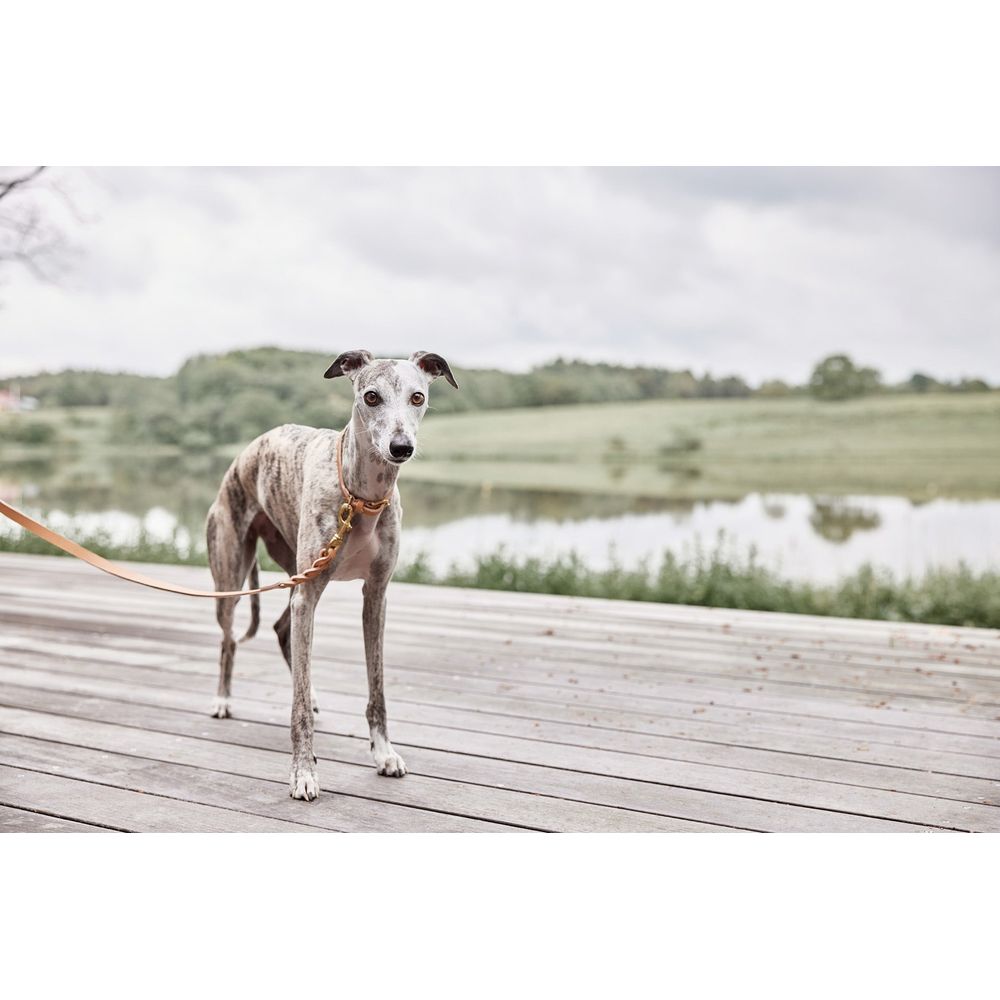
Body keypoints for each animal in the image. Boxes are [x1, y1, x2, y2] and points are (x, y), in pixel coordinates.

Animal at [204, 348, 460, 800]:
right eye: (371, 396)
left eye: (417, 397)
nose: (401, 448)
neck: (361, 499)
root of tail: (244, 454)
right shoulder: (308, 595)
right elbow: (297, 710)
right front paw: (303, 773)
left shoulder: (375, 595)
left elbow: (376, 689)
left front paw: (383, 754)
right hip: (233, 574)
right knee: (228, 639)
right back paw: (222, 699)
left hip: (294, 572)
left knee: (281, 629)